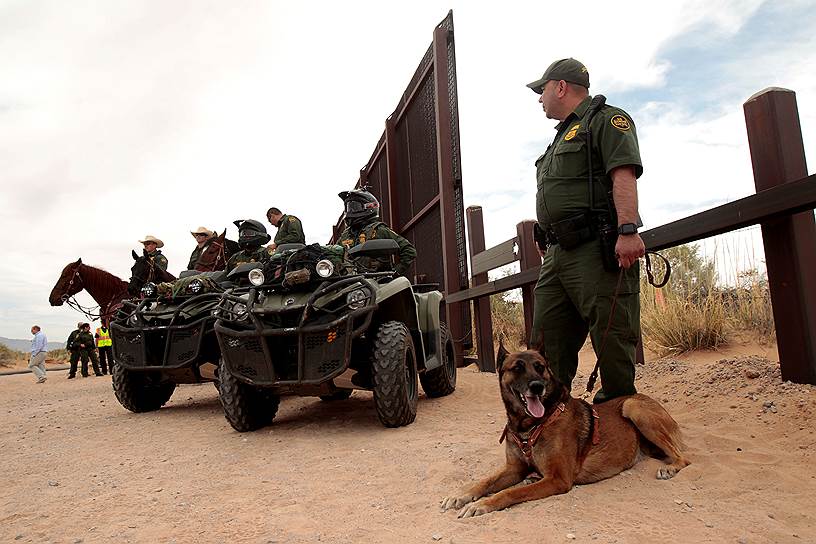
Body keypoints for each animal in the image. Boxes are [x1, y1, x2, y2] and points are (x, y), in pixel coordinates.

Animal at [440, 346, 688, 516]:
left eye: (540, 367)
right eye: (517, 368)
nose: (537, 386)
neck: (530, 425)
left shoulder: (557, 479)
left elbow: (509, 492)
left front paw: (482, 504)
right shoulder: (514, 468)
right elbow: (484, 481)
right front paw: (460, 494)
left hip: (632, 407)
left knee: (683, 458)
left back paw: (670, 468)